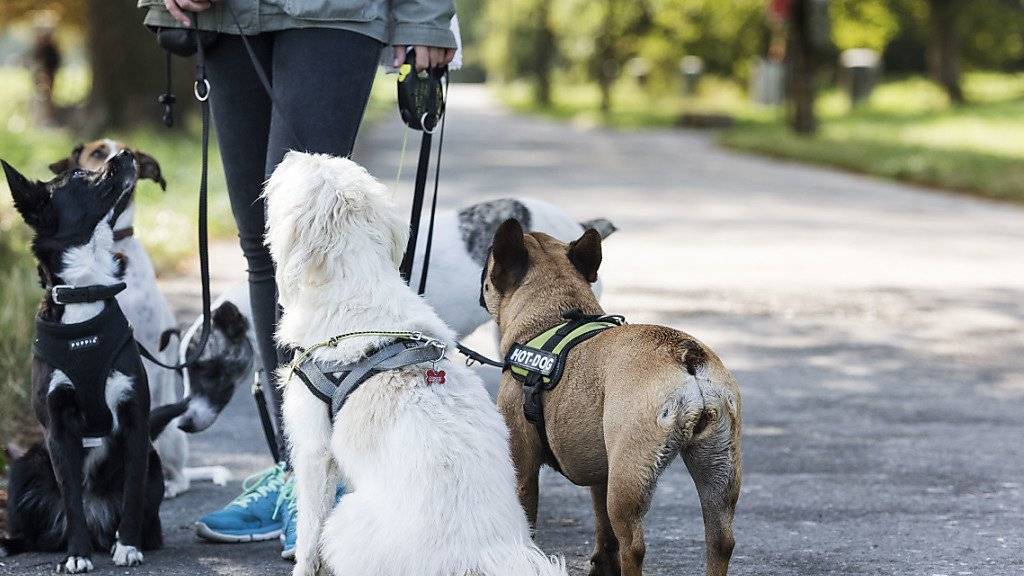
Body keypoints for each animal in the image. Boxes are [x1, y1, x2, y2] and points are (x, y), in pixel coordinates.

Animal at [1, 152, 173, 569]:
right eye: (80, 175)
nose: (125, 155)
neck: (84, 294)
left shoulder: (134, 421)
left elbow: (130, 494)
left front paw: (127, 547)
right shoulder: (58, 429)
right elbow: (71, 500)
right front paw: (76, 555)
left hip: (154, 466)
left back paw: (123, 540)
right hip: (25, 466)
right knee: (38, 529)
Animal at [266, 152, 569, 573]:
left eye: (305, 171)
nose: (290, 154)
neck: (355, 288)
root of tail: (478, 556)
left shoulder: (314, 450)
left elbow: (309, 531)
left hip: (345, 519)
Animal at [483, 219, 741, 573]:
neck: (556, 312)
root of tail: (686, 356)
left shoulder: (522, 465)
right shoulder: (599, 472)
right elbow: (602, 527)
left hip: (629, 474)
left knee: (632, 544)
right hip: (718, 465)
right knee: (719, 538)